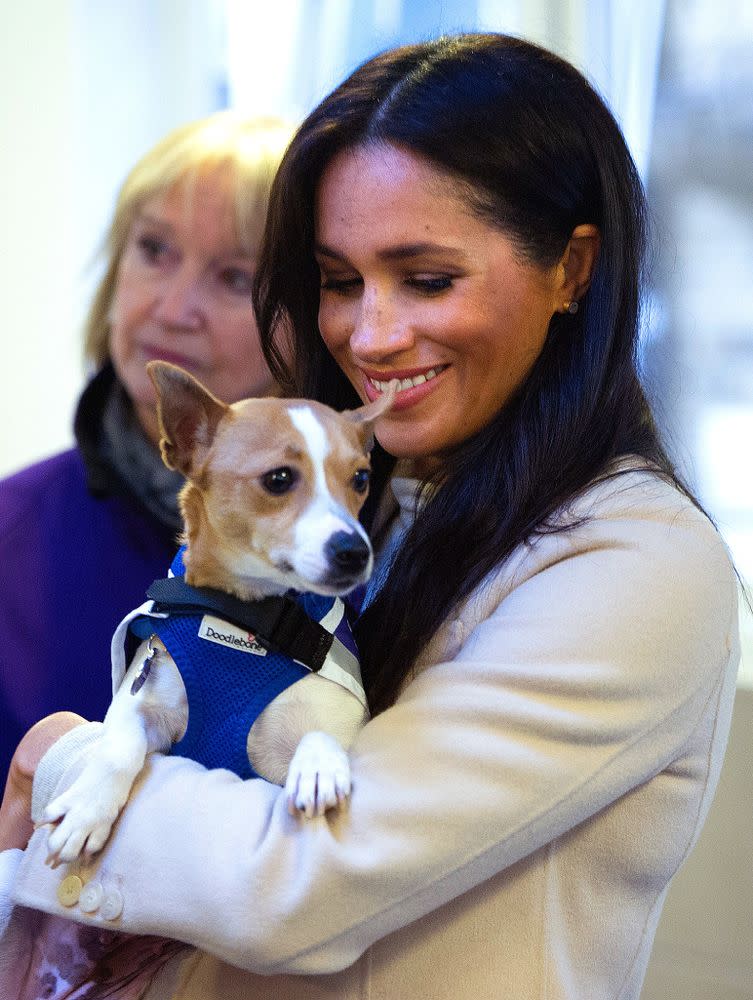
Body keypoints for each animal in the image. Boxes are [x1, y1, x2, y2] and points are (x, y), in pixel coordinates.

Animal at [42, 364, 394, 864]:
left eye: (361, 479)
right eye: (279, 478)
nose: (354, 550)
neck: (249, 618)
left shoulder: (338, 724)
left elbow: (323, 735)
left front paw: (319, 767)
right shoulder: (141, 703)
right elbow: (118, 746)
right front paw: (87, 809)